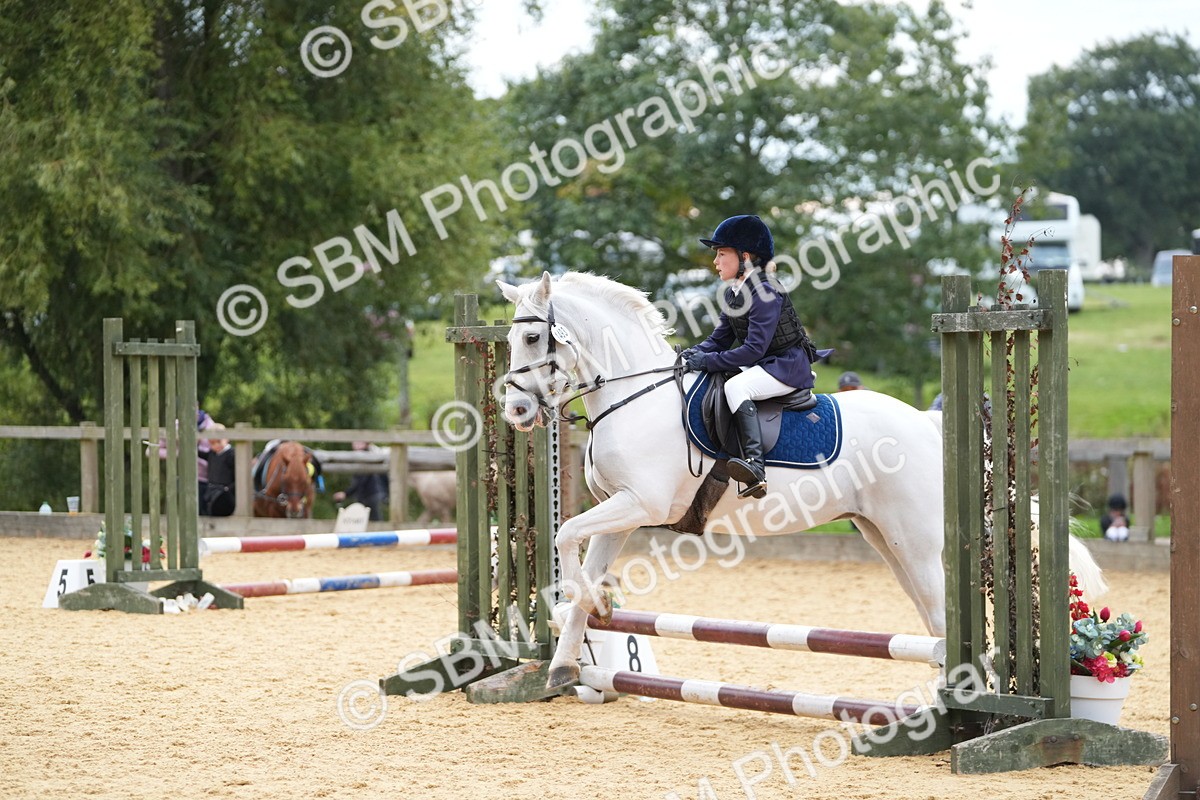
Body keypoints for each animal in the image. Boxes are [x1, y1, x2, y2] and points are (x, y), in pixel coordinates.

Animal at [497, 271, 1105, 690]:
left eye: (532, 340)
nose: (516, 411)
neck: (633, 395)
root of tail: (927, 424)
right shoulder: (619, 513)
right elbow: (579, 555)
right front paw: (568, 655)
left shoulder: (641, 504)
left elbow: (563, 535)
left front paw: (574, 607)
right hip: (884, 538)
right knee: (931, 619)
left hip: (915, 540)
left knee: (938, 614)